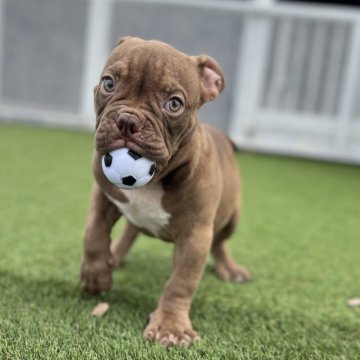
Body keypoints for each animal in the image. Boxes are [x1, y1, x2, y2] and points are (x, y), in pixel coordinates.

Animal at [81, 36, 250, 346]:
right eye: (109, 83)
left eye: (174, 104)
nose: (128, 121)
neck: (157, 178)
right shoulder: (104, 193)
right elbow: (93, 233)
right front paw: (96, 275)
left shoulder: (195, 235)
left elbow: (181, 282)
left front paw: (170, 326)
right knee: (130, 230)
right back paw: (115, 256)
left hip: (231, 218)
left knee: (220, 243)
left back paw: (230, 269)